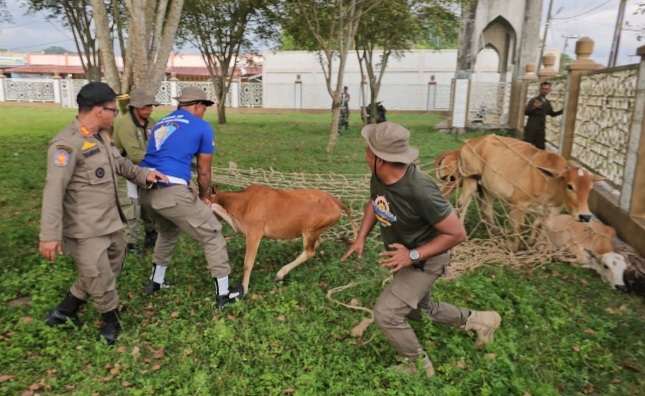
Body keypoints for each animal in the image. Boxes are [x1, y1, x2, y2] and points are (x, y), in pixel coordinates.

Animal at [210, 184, 358, 292]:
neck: (242, 201)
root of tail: (334, 200)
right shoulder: (242, 228)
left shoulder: (254, 233)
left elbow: (248, 263)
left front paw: (244, 289)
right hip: (315, 230)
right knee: (317, 243)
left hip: (309, 230)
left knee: (309, 251)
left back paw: (280, 274)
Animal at [456, 135, 600, 249]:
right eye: (570, 186)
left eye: (590, 188)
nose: (585, 216)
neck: (550, 182)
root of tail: (470, 141)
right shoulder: (518, 204)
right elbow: (519, 227)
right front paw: (515, 247)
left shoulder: (551, 211)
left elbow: (540, 227)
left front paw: (536, 245)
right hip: (470, 179)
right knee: (462, 203)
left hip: (489, 188)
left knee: (486, 207)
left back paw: (495, 231)